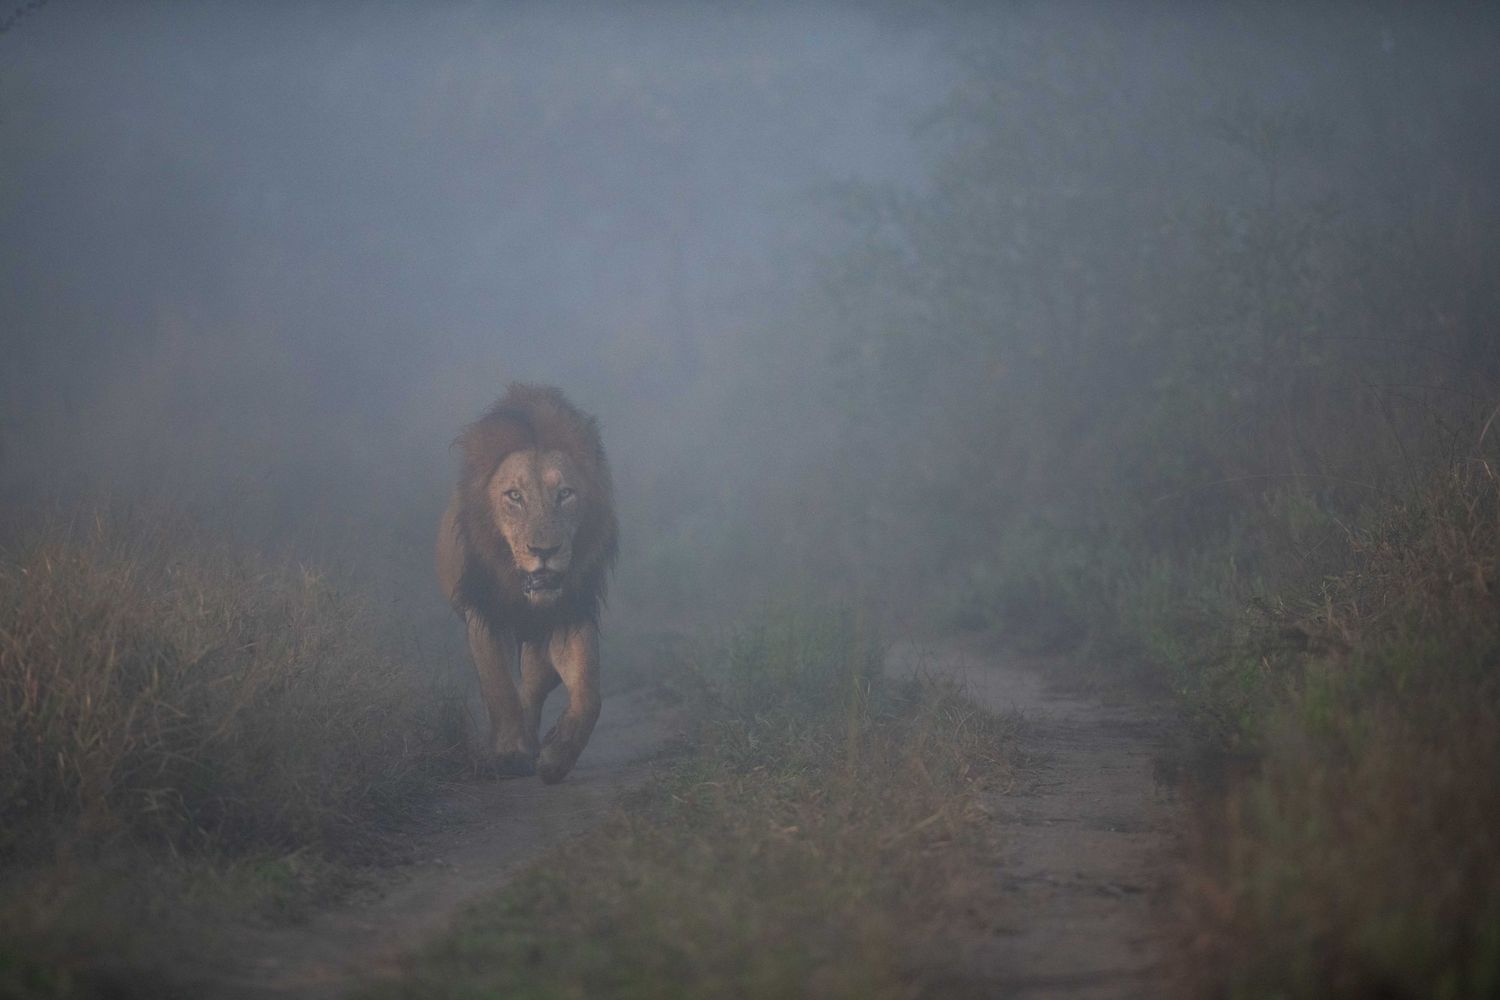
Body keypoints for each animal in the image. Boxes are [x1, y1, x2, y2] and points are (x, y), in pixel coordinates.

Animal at [436, 384, 619, 783]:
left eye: (565, 493)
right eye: (514, 496)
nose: (544, 551)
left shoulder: (568, 616)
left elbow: (588, 694)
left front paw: (556, 757)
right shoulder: (486, 616)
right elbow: (499, 687)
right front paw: (508, 754)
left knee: (535, 684)